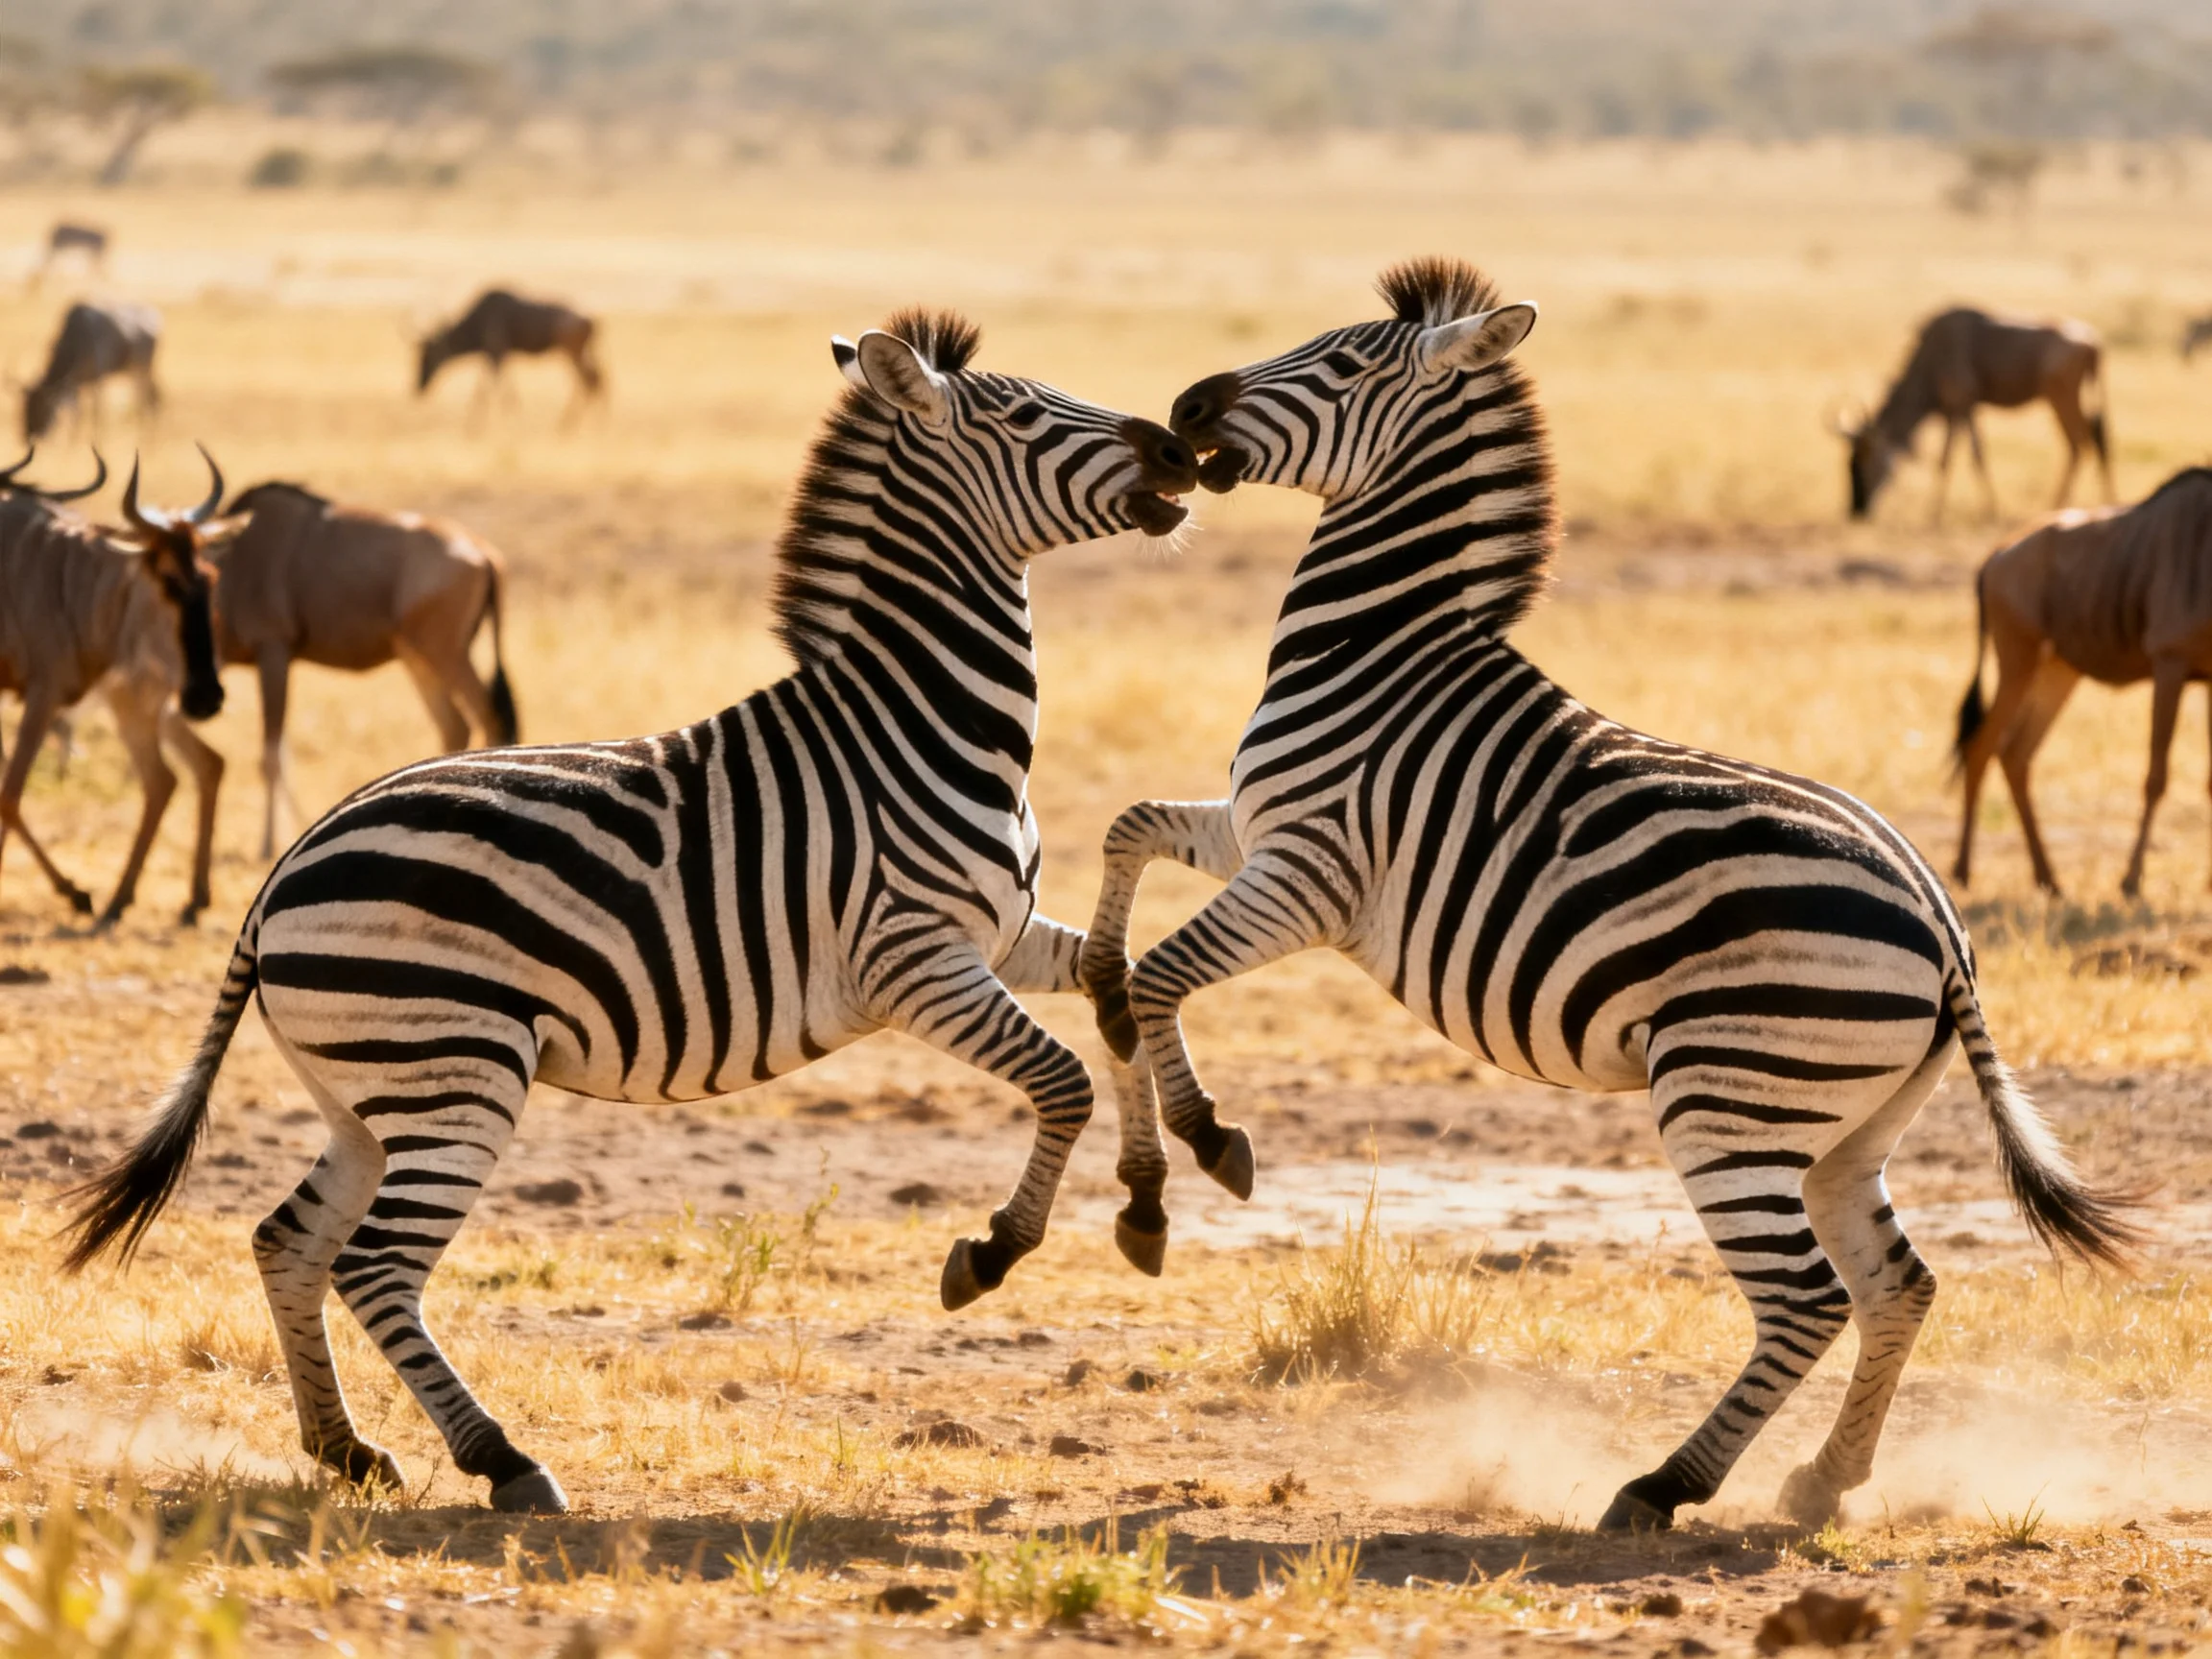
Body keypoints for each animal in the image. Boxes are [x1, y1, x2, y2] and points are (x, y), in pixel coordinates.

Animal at [65, 308, 1199, 1515]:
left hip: (367, 1093)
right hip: (456, 1073)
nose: (1182, 447)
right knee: (374, 1265)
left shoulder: (1001, 937)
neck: (916, 724)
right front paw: (993, 1250)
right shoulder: (915, 962)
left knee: (288, 1241)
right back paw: (501, 1459)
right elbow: (1063, 1081)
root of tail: (279, 877)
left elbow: (1119, 984)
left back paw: (346, 1448)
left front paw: (1149, 1199)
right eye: (1031, 415)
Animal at [1078, 259, 2138, 1532]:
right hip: (1847, 1126)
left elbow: (1163, 979)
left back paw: (1664, 1486)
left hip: (1727, 1098)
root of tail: (1944, 933)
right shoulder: (1257, 826)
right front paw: (1096, 993)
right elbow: (1129, 831)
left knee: (1807, 1299)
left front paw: (1204, 1144)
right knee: (1900, 1284)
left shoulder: (1311, 872)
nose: (1183, 407)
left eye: (1337, 363)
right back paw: (1822, 1483)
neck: (1379, 651)